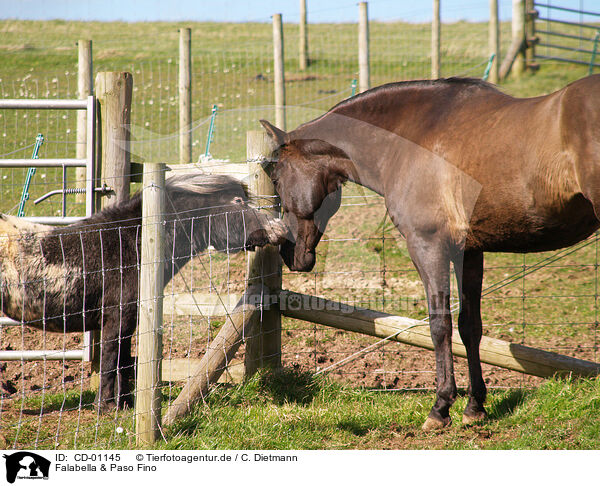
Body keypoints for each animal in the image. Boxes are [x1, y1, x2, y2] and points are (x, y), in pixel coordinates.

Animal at [0, 173, 286, 408]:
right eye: (238, 201)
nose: (280, 230)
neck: (132, 242)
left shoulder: (127, 321)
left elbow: (124, 361)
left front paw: (126, 405)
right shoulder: (116, 320)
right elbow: (110, 361)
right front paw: (106, 408)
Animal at [260, 75, 600, 430]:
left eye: (277, 180)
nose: (289, 253)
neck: (411, 138)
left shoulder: (428, 246)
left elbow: (439, 324)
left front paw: (441, 407)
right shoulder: (469, 251)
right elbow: (470, 326)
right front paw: (474, 407)